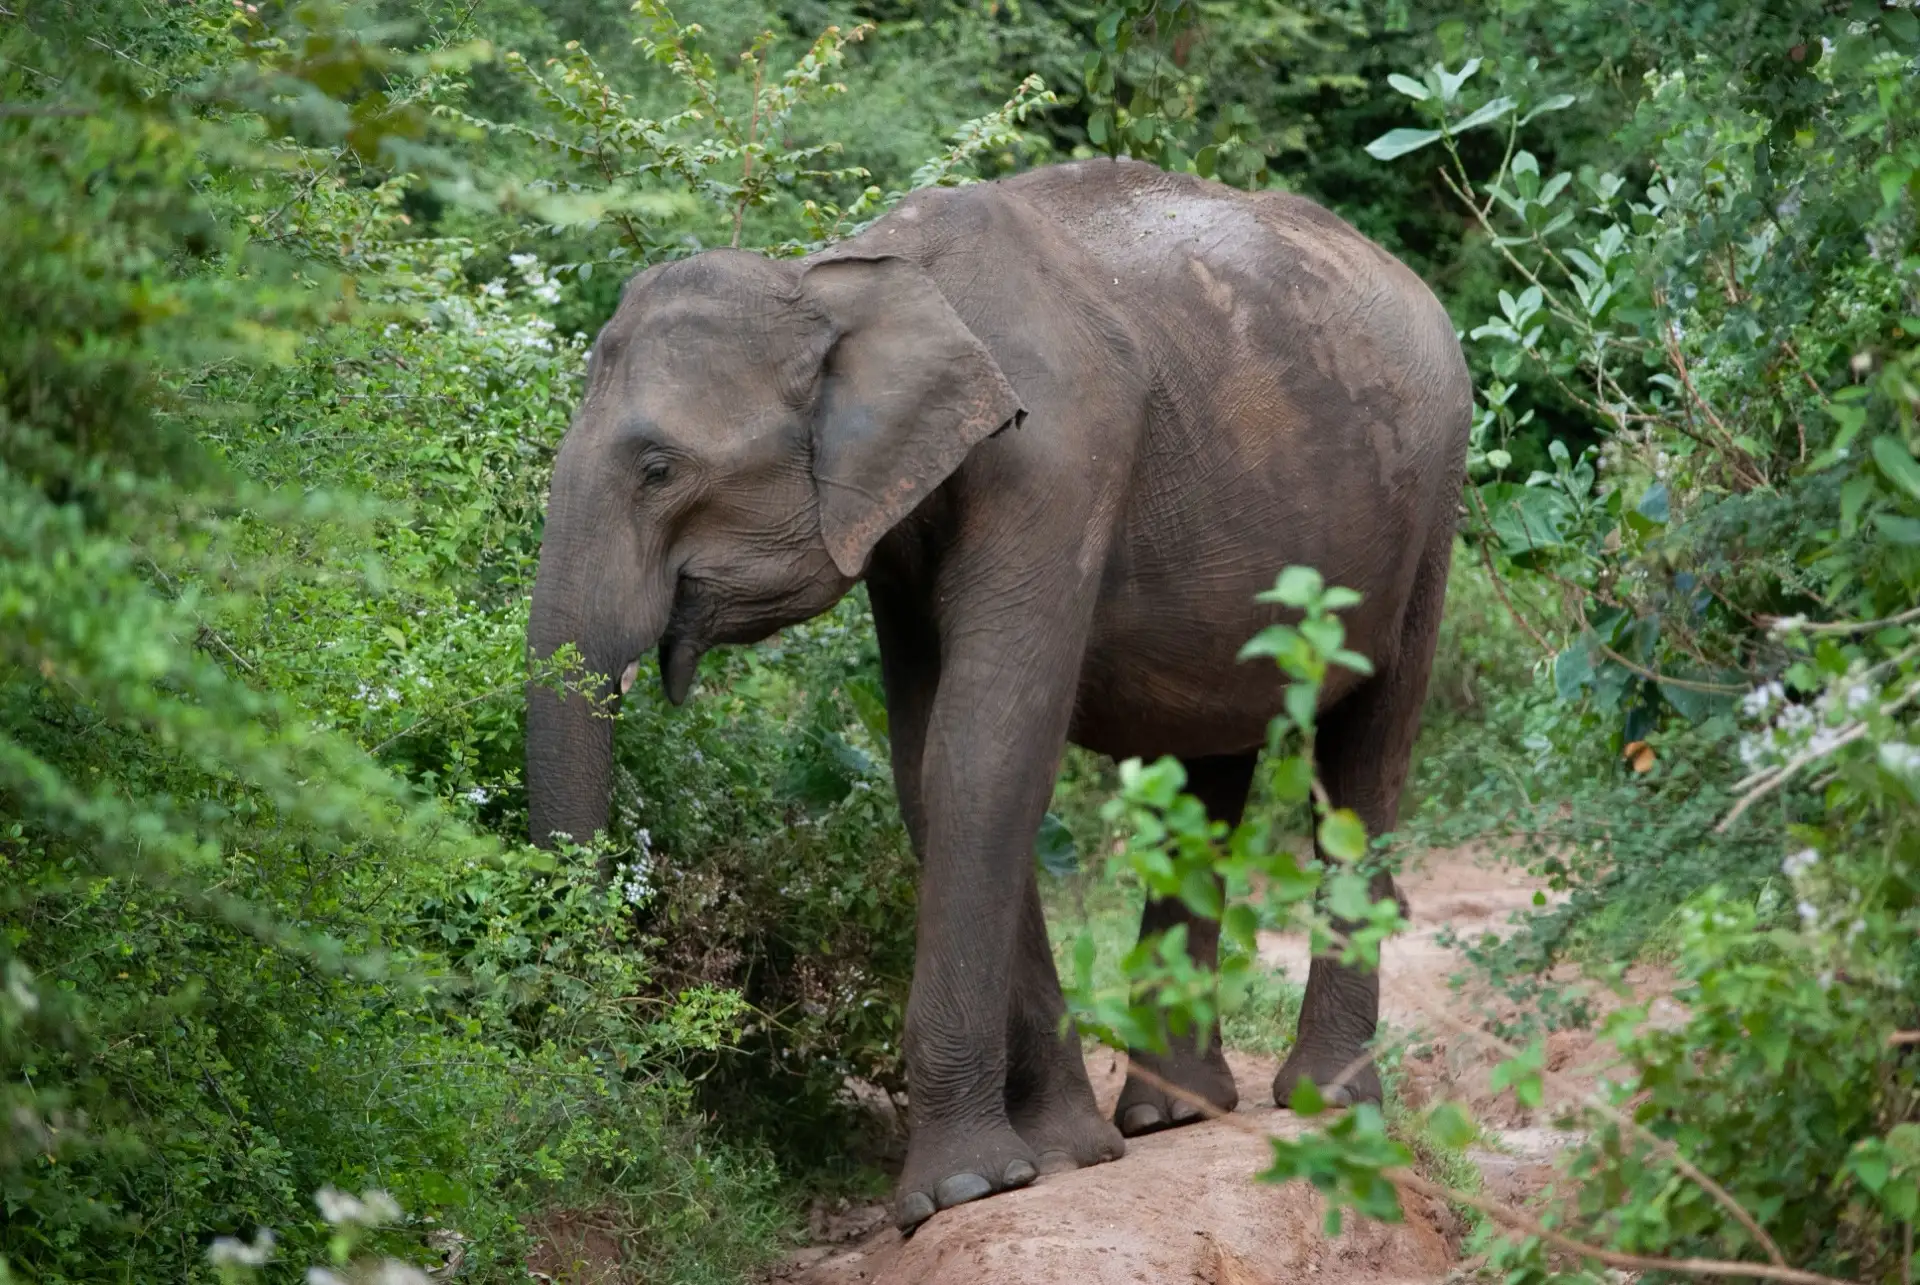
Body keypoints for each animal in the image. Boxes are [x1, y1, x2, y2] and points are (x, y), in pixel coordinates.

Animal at [525, 156, 1472, 1231]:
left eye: (658, 468)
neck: (841, 276)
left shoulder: (1057, 464)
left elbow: (982, 753)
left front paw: (960, 1189)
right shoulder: (899, 531)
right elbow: (928, 766)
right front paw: (1063, 1154)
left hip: (1431, 506)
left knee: (1365, 762)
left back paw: (1326, 1100)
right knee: (1208, 779)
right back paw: (1169, 1114)